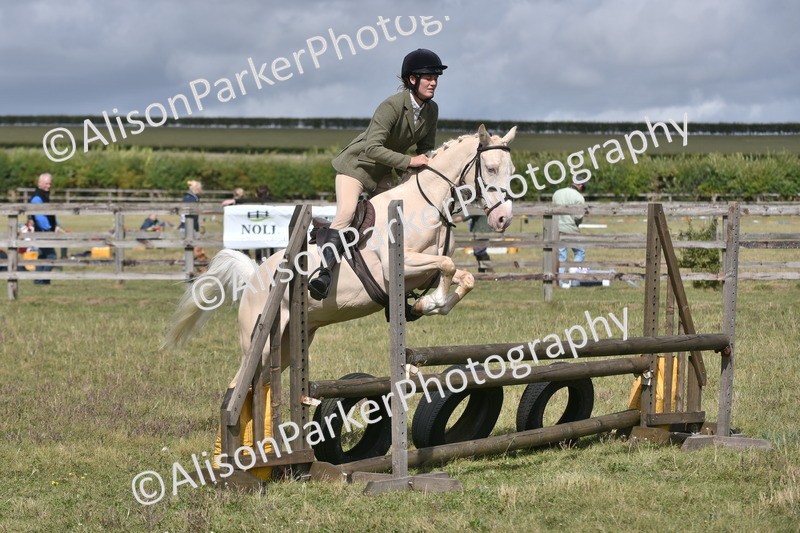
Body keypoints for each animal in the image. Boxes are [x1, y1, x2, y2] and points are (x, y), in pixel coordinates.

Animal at [164, 125, 518, 390]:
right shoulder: (398, 264)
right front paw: (430, 303)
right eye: (490, 168)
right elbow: (447, 265)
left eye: (511, 170)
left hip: (292, 342)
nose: (503, 219)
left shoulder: (425, 271)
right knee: (238, 386)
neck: (428, 203)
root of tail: (254, 277)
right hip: (258, 342)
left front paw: (424, 305)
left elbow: (462, 275)